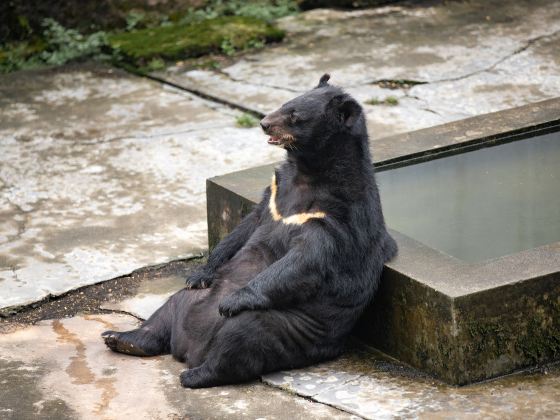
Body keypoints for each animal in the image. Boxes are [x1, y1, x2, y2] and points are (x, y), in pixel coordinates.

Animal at [101, 74, 398, 388]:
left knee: (240, 338)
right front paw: (200, 272)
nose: (264, 122)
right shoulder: (276, 194)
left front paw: (235, 298)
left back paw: (194, 373)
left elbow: (305, 260)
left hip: (287, 327)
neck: (309, 174)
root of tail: (189, 349)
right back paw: (121, 337)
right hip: (190, 301)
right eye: (285, 103)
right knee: (167, 310)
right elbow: (243, 228)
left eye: (295, 116)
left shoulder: (337, 217)